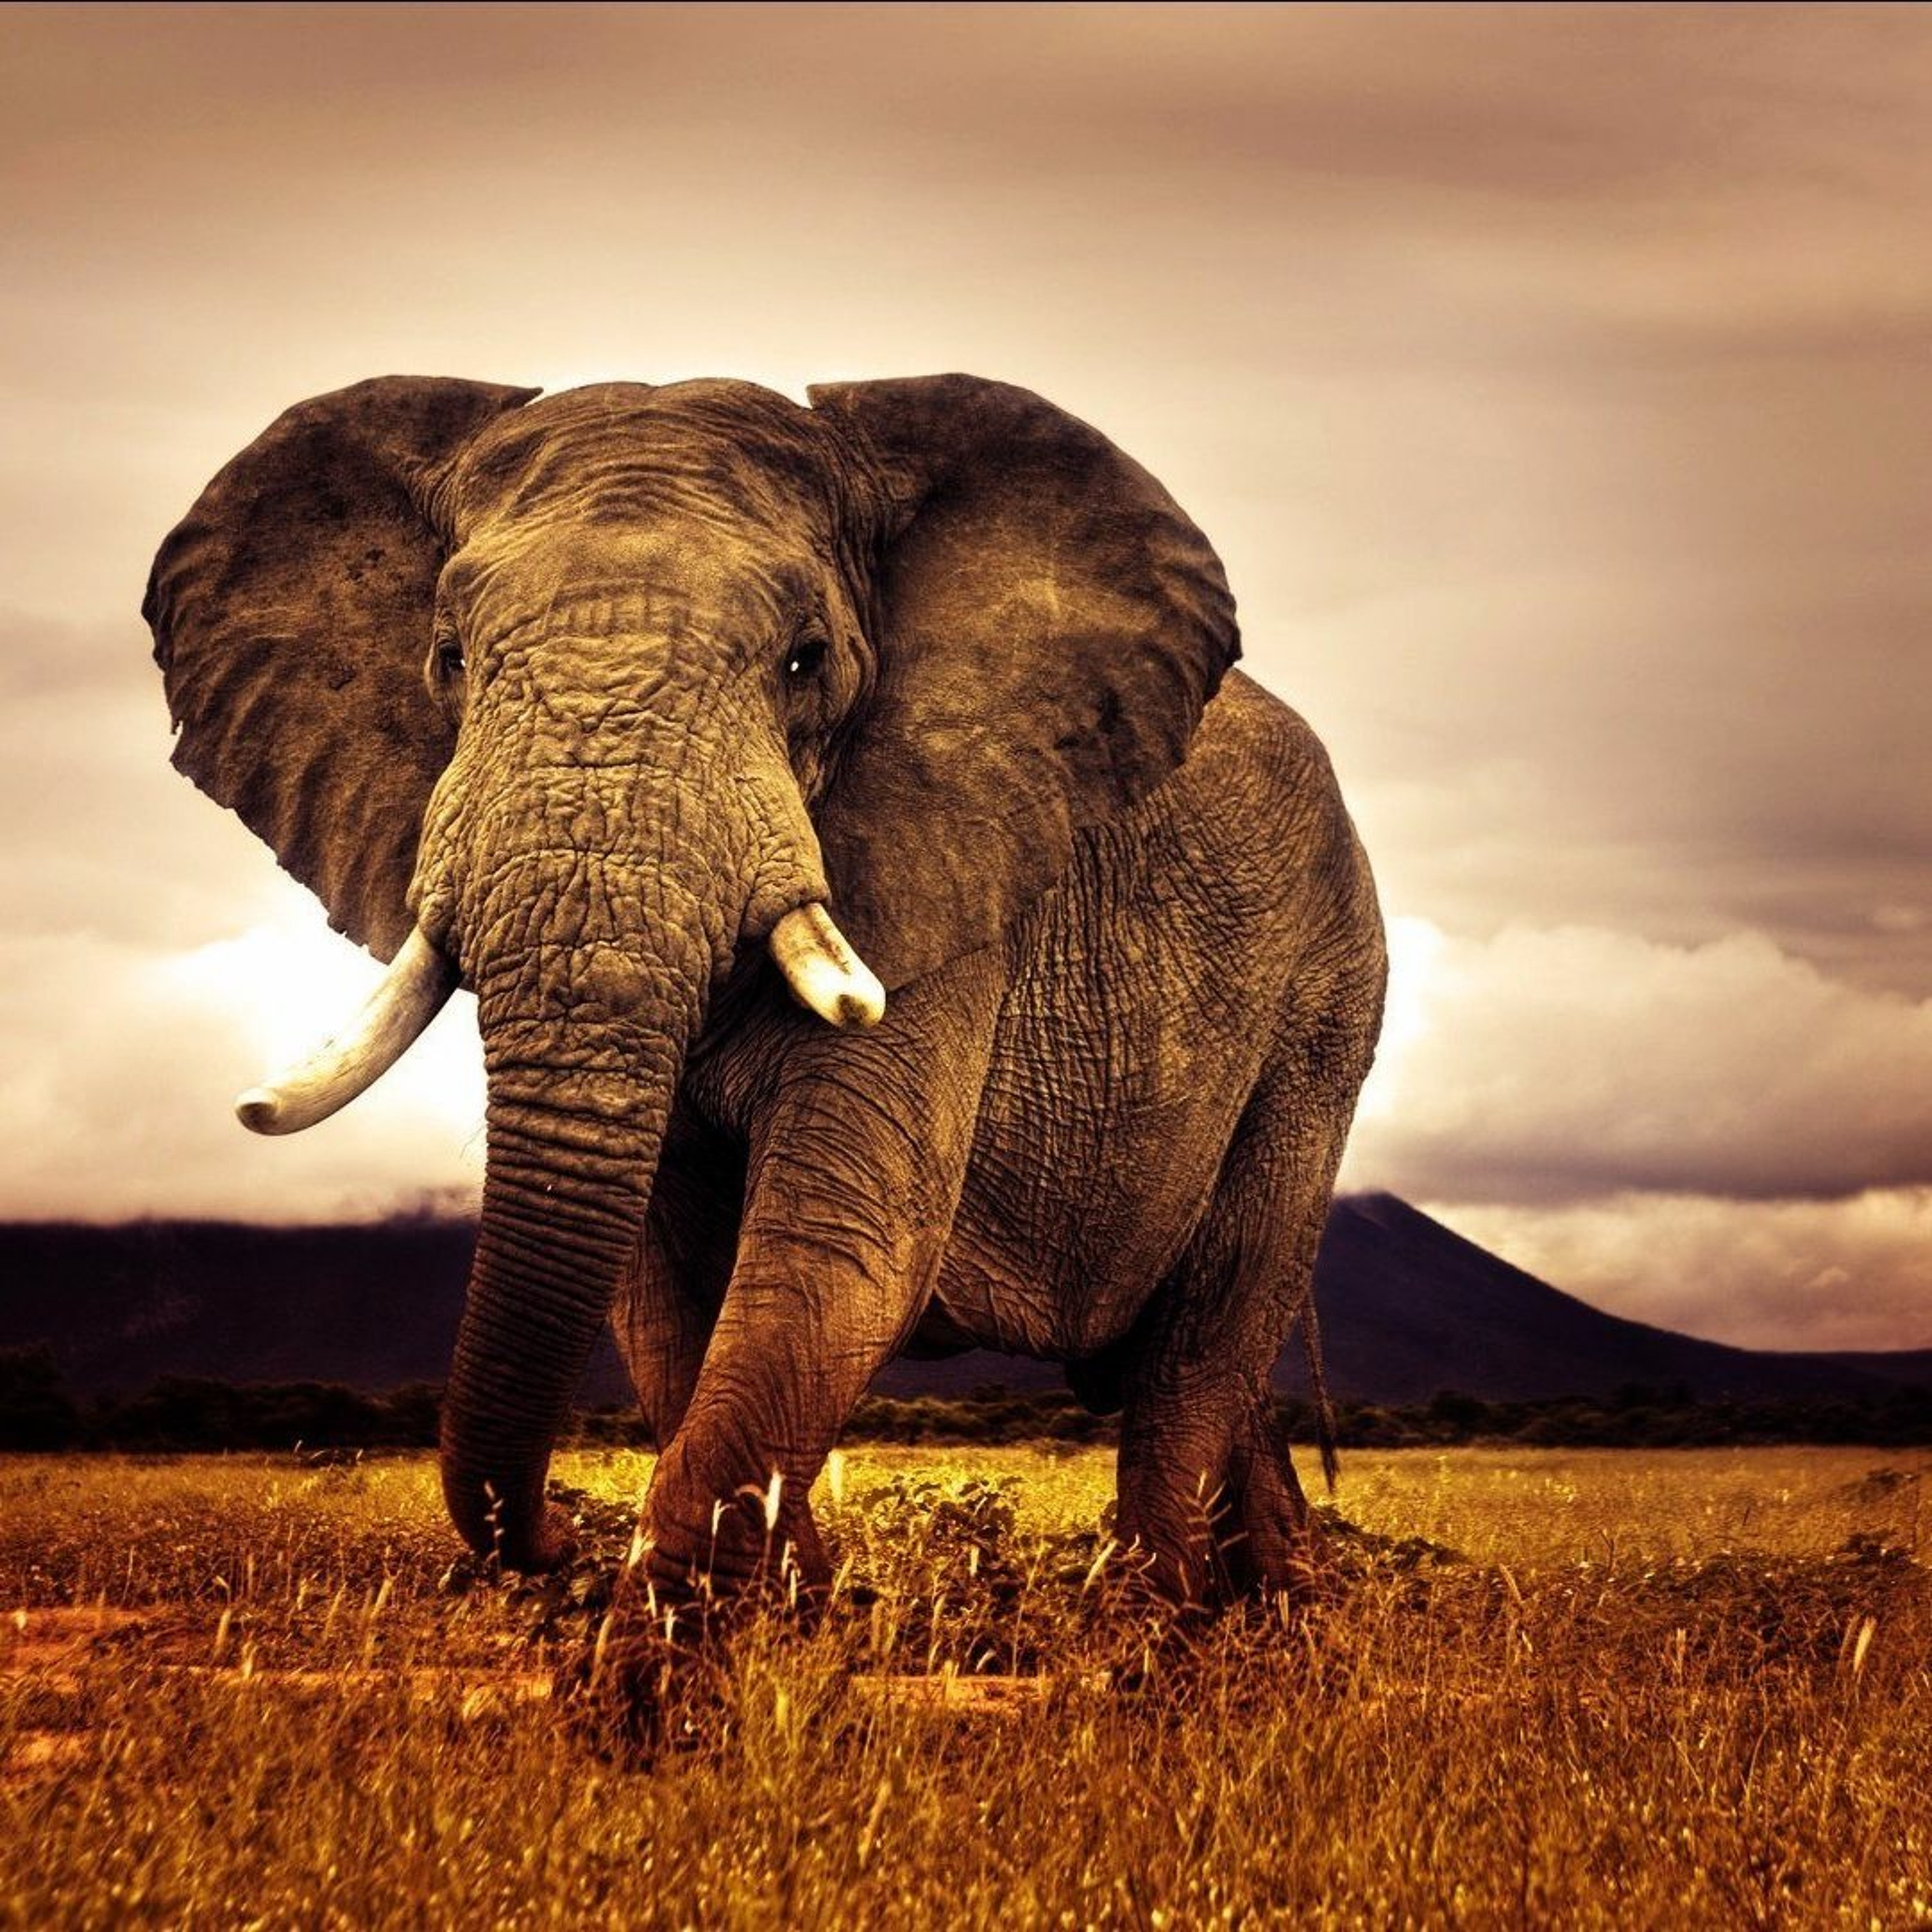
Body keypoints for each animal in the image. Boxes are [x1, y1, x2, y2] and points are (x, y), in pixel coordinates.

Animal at [143, 373, 1386, 1644]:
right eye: (447, 656)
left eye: (806, 662)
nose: (551, 1541)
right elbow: (663, 1291)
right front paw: (797, 1621)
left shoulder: (945, 877)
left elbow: (837, 1247)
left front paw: (670, 1662)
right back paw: (1279, 1615)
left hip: (1325, 1009)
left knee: (1207, 1334)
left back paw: (1152, 1639)